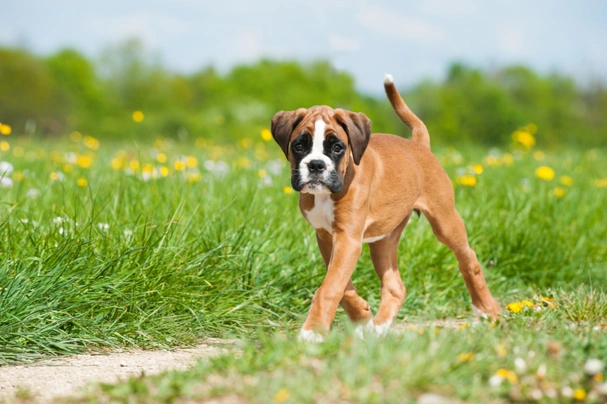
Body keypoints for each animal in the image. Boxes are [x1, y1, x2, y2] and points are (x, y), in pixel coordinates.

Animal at [274, 73, 502, 340]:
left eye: (337, 147)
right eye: (299, 146)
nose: (317, 165)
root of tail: (419, 144)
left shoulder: (347, 240)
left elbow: (330, 287)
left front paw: (313, 331)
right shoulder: (328, 238)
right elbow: (342, 285)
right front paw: (362, 318)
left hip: (445, 222)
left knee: (470, 261)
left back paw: (488, 310)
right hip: (384, 240)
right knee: (395, 287)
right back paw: (378, 327)